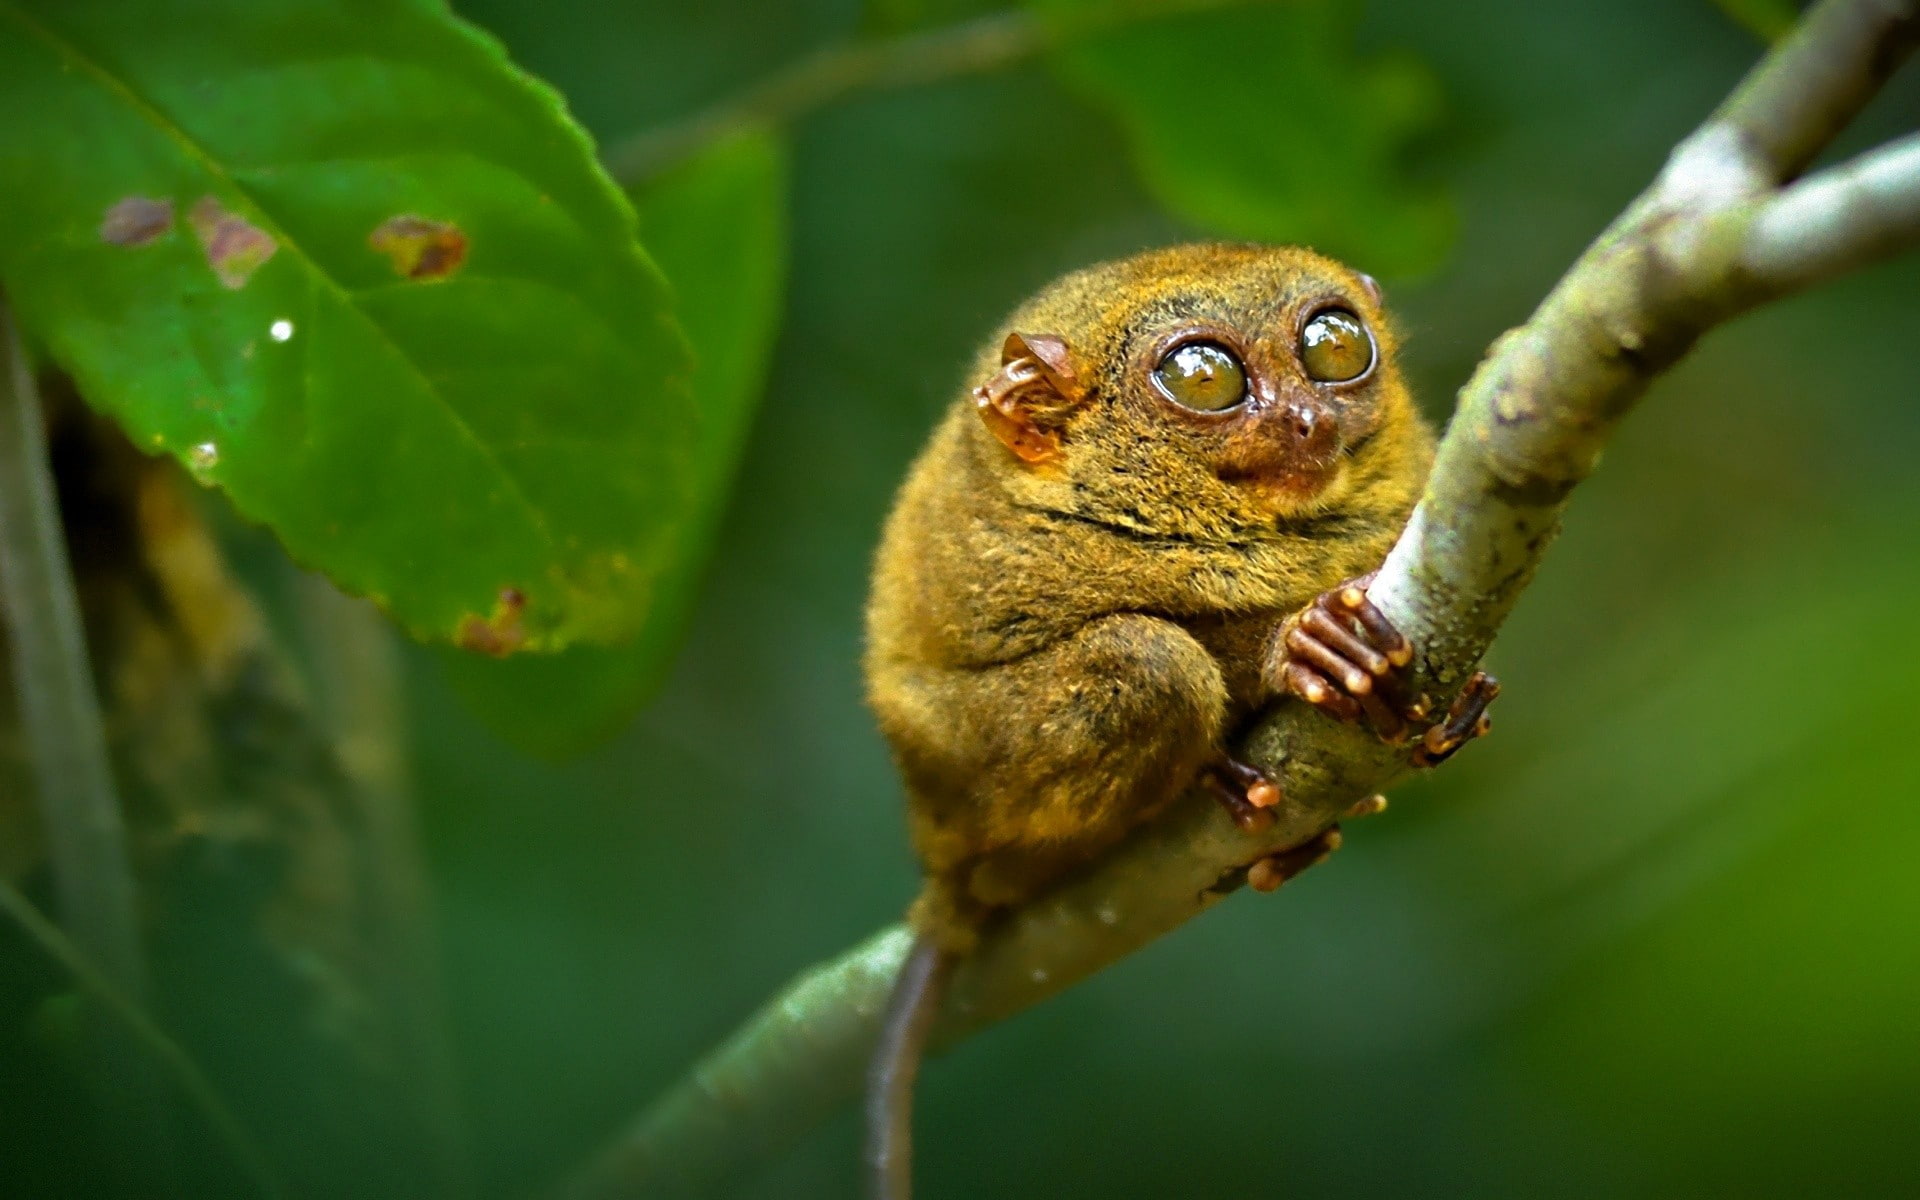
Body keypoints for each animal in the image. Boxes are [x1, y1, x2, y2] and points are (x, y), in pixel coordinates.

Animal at [861, 242, 1498, 1199]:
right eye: (1206, 379)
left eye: (1334, 347)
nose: (1306, 418)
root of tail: (942, 869)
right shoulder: (1029, 557)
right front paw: (1303, 643)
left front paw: (1445, 712)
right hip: (968, 772)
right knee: (1147, 660)